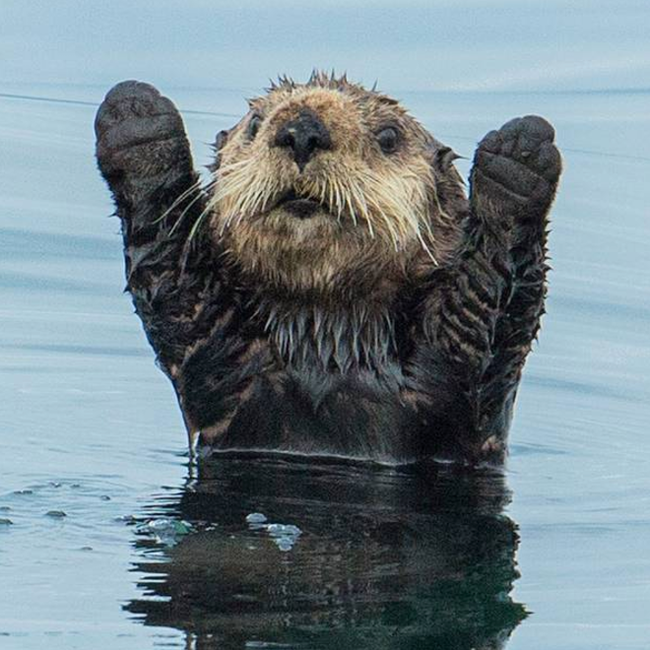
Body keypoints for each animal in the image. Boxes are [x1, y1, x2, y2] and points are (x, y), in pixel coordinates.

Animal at [93, 73, 560, 464]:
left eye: (388, 136)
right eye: (255, 123)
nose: (302, 131)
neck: (328, 343)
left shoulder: (464, 378)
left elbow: (489, 304)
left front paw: (519, 154)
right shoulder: (216, 358)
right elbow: (172, 273)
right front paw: (137, 117)